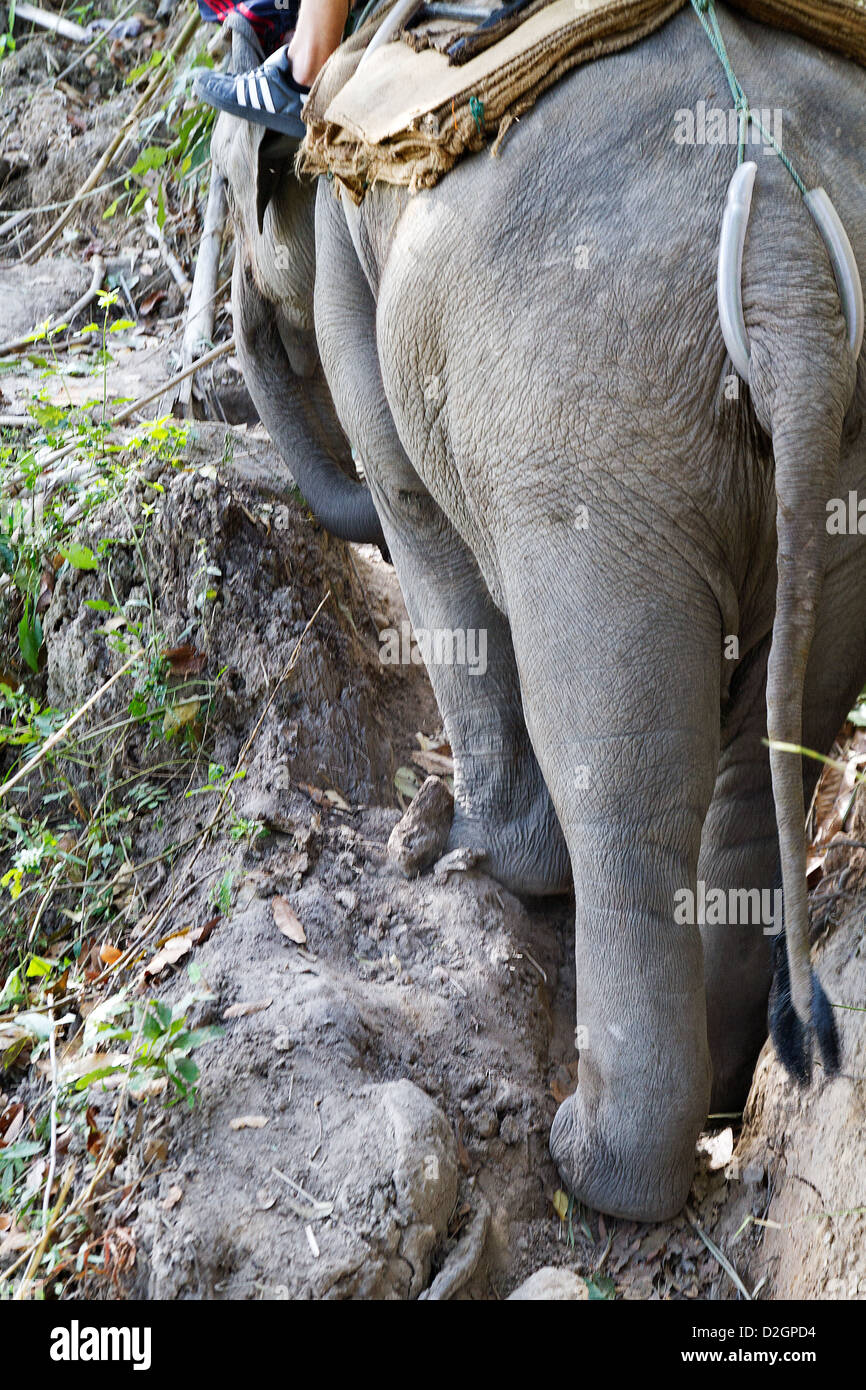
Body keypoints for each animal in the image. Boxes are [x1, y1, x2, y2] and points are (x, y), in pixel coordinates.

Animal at [211, 2, 866, 1217]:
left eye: (230, 192)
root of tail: (786, 267)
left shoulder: (353, 269)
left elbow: (412, 509)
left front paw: (447, 849)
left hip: (589, 433)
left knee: (624, 779)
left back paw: (597, 1161)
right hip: (839, 474)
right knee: (762, 762)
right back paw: (721, 1090)